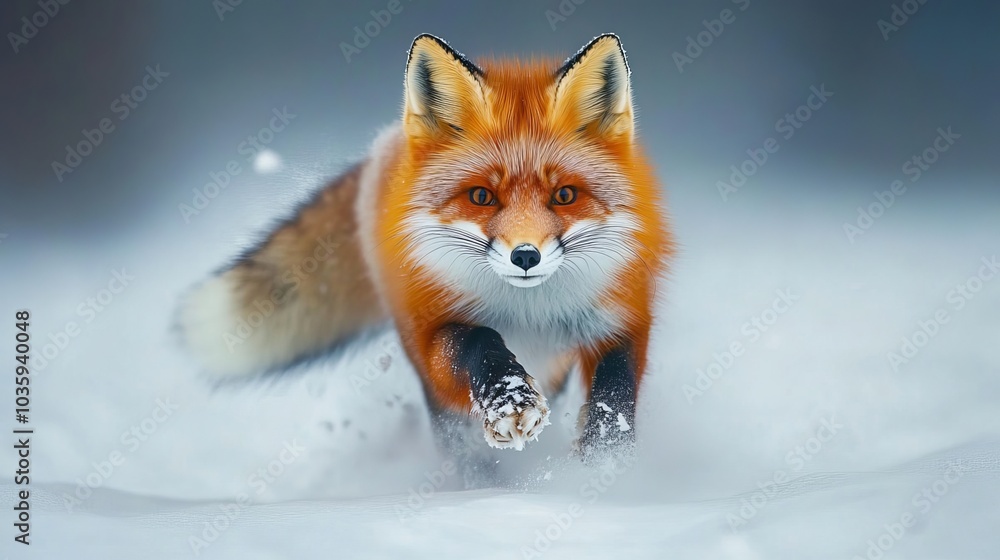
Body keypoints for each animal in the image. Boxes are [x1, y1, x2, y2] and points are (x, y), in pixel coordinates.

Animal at [177, 33, 672, 462]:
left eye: (564, 195)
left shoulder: (622, 318)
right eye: (481, 196)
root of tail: (384, 143)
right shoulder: (431, 331)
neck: (530, 312)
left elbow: (614, 394)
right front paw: (510, 400)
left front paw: (601, 465)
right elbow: (480, 342)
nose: (525, 257)